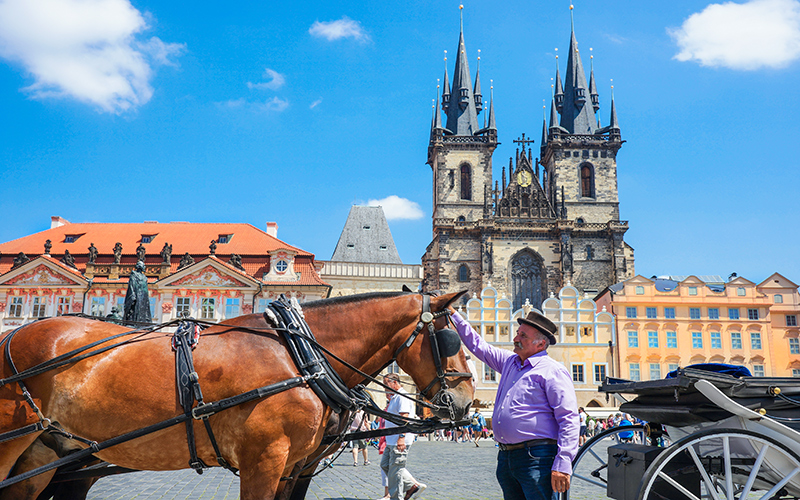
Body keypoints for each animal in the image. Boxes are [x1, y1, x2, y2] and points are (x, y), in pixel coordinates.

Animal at [0, 292, 472, 500]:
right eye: (451, 339)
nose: (468, 401)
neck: (298, 355)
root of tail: (12, 335)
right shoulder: (264, 462)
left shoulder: (292, 468)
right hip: (15, 438)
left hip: (48, 454)